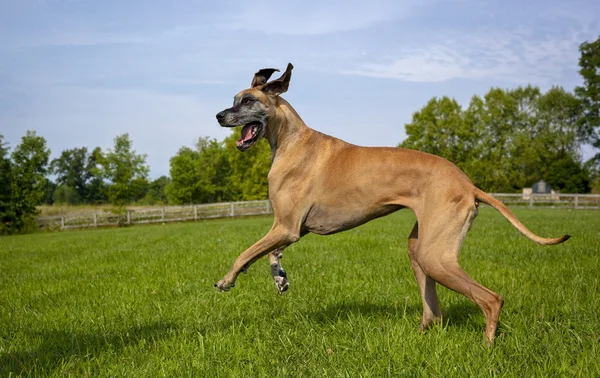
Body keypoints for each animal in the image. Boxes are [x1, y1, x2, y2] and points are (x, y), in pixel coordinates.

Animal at [213, 63, 568, 344]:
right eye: (234, 99)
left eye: (247, 100)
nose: (218, 115)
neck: (291, 140)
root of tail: (468, 183)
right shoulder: (290, 228)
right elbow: (269, 254)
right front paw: (280, 277)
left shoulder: (286, 227)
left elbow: (244, 254)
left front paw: (227, 280)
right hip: (420, 249)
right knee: (434, 311)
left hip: (435, 256)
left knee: (491, 299)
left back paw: (487, 345)